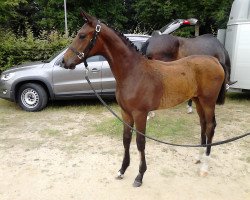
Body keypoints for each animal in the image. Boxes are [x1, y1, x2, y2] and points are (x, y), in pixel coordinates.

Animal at [62, 12, 227, 188]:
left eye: (82, 35)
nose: (64, 61)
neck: (133, 72)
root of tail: (215, 61)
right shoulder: (126, 113)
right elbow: (126, 139)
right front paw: (122, 170)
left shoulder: (140, 114)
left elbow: (140, 142)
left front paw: (139, 176)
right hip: (197, 100)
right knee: (203, 124)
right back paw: (199, 157)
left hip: (208, 101)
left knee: (210, 126)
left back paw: (205, 166)